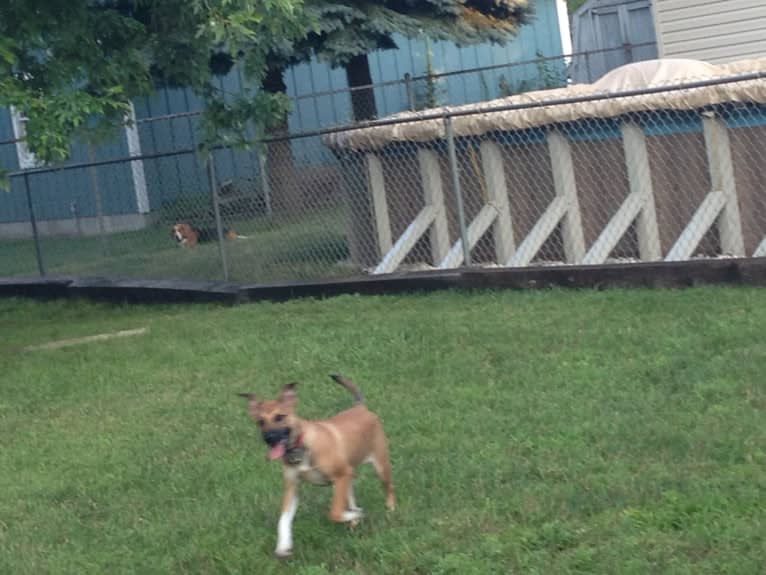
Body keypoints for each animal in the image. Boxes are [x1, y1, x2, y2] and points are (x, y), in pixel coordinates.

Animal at [238, 376, 396, 560]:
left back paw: (388, 510)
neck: (301, 446)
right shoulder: (293, 487)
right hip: (349, 475)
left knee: (389, 488)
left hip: (379, 465)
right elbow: (283, 519)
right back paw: (354, 519)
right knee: (351, 497)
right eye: (260, 422)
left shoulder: (340, 475)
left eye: (280, 417)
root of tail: (361, 408)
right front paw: (283, 546)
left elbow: (334, 512)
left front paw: (356, 514)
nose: (269, 438)